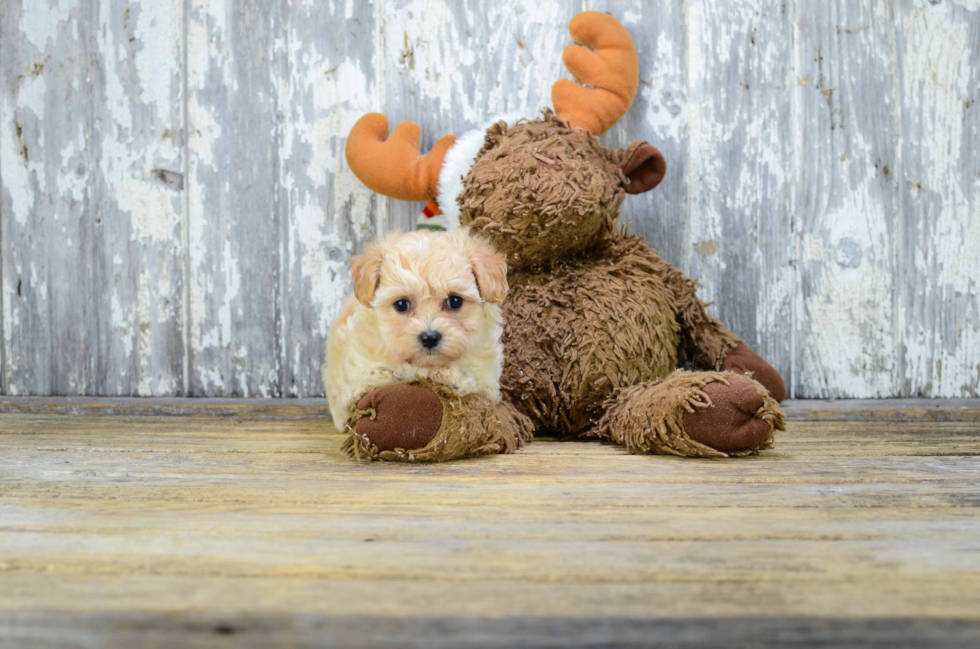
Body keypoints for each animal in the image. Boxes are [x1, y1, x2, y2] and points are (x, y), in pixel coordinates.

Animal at [324, 229, 510, 430]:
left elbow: (478, 386)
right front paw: (376, 379)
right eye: (401, 304)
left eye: (455, 301)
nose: (429, 338)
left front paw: (453, 377)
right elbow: (365, 383)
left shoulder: (489, 383)